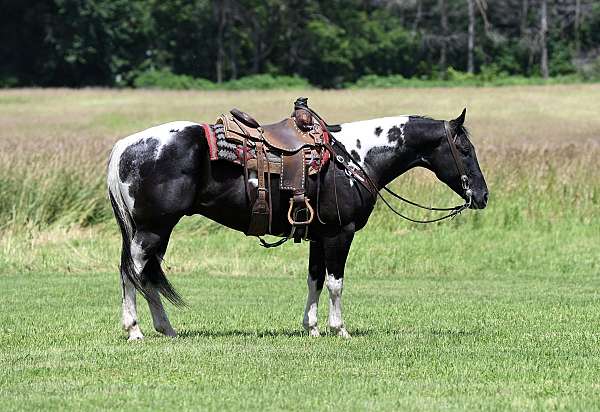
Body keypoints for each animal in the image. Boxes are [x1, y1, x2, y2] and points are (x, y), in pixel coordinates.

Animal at [108, 108, 490, 340]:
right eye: (465, 149)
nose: (482, 195)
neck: (354, 158)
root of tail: (124, 146)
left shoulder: (319, 236)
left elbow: (315, 280)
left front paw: (312, 328)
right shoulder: (339, 233)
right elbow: (335, 284)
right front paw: (339, 329)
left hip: (156, 231)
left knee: (146, 274)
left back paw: (165, 328)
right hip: (151, 229)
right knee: (132, 272)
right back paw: (134, 330)